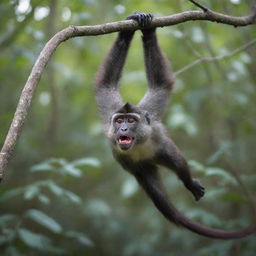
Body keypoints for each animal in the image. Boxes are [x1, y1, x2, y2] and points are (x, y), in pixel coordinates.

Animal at [94, 12, 256, 240]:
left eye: (131, 120)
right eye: (119, 120)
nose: (123, 129)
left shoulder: (153, 123)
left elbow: (160, 84)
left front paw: (146, 30)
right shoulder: (110, 109)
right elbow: (106, 83)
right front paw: (127, 33)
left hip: (159, 153)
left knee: (176, 164)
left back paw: (188, 185)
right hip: (142, 168)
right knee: (160, 199)